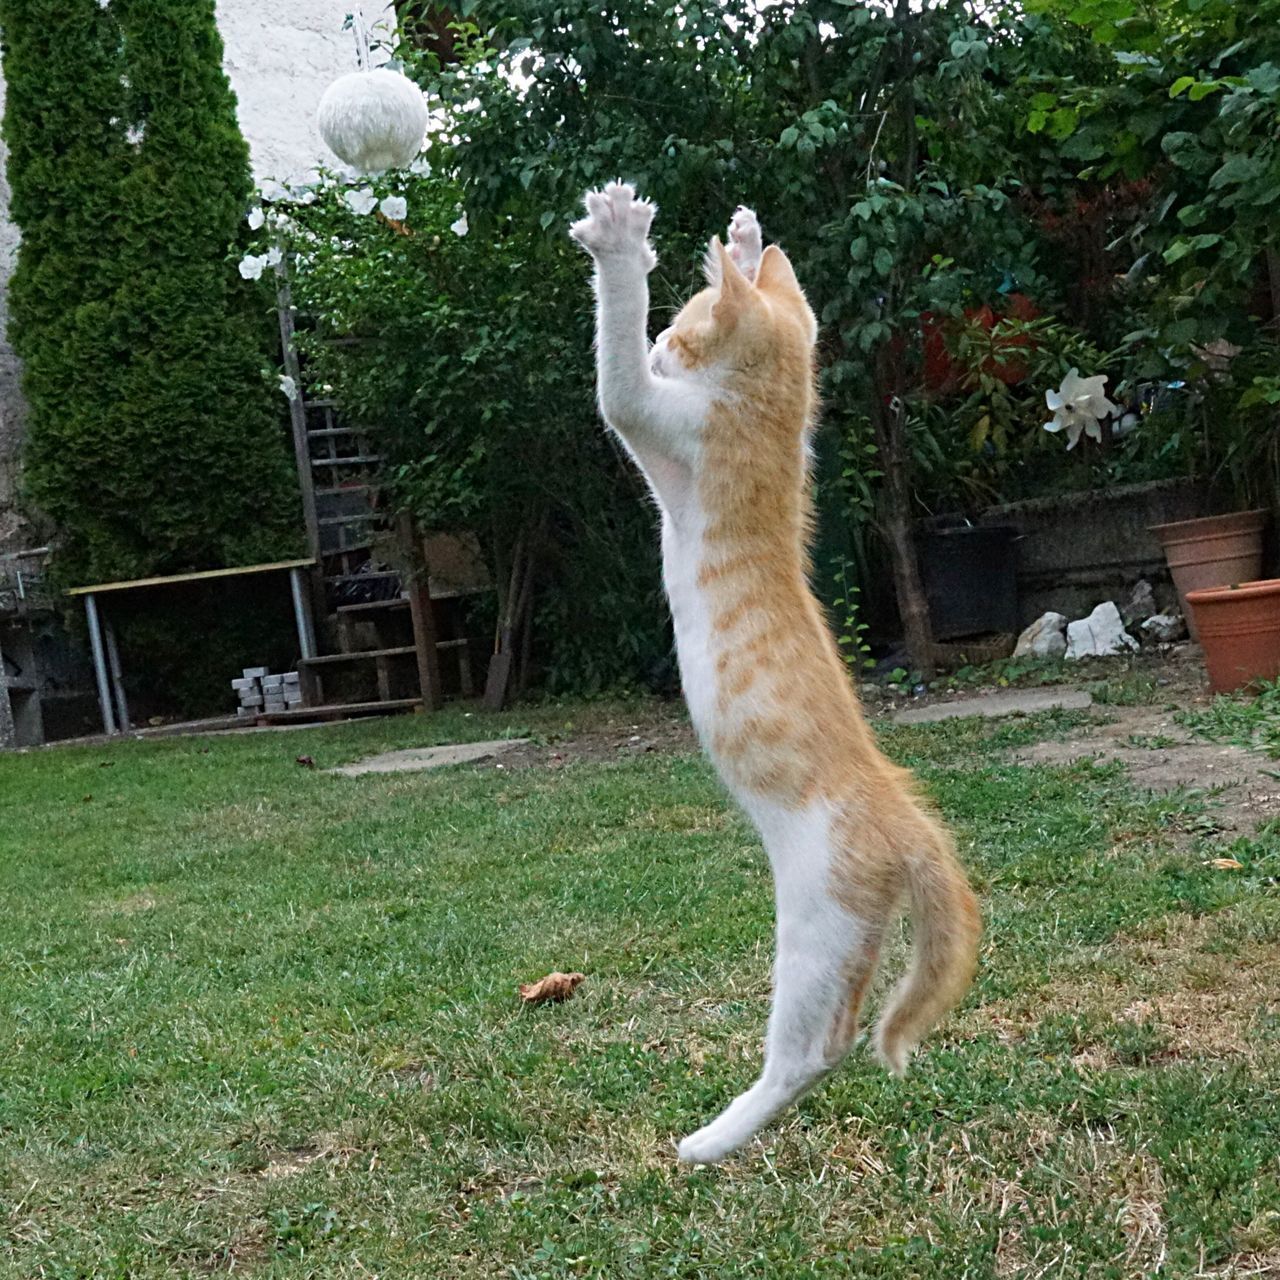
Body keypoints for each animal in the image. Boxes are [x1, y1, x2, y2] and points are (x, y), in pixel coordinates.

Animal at [570, 183, 977, 1172]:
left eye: (680, 326)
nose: (664, 342)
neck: (770, 407)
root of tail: (910, 823)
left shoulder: (662, 422)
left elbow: (615, 383)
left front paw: (620, 251)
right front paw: (750, 244)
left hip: (817, 925)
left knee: (815, 1049)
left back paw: (714, 1138)